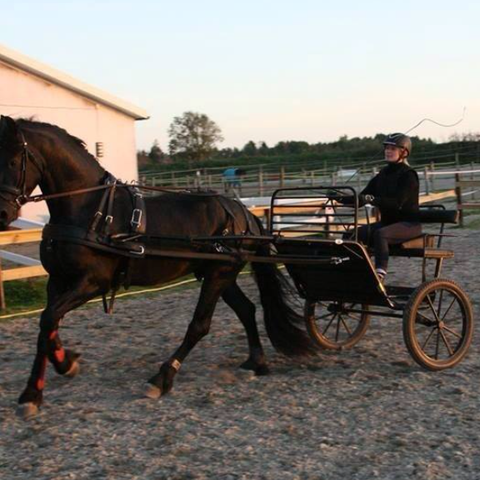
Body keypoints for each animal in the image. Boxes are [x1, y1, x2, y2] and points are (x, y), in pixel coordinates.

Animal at [0, 117, 316, 420]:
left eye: (13, 160)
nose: (3, 214)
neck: (91, 210)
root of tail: (243, 212)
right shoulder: (57, 281)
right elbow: (47, 326)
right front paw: (53, 374)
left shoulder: (92, 282)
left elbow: (47, 320)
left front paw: (43, 384)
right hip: (220, 274)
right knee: (246, 310)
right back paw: (256, 362)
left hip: (218, 274)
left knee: (200, 325)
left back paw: (162, 378)